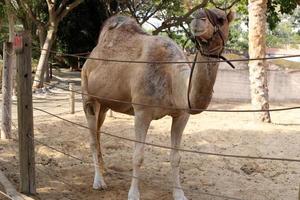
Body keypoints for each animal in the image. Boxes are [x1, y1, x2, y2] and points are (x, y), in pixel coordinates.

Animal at [81, 8, 234, 200]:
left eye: (221, 19)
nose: (199, 18)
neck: (172, 77)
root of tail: (88, 59)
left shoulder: (182, 115)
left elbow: (176, 157)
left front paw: (179, 194)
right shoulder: (142, 112)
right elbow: (138, 155)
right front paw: (133, 194)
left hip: (105, 103)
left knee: (98, 131)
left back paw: (104, 169)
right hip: (88, 95)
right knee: (93, 138)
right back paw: (99, 182)